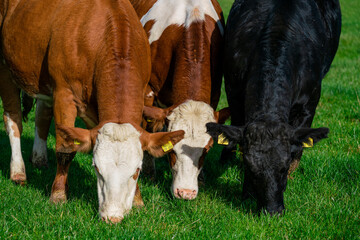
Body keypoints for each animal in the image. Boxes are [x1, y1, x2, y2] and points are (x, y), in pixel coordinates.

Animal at [0, 0, 184, 223]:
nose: (112, 217)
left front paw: (138, 200)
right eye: (96, 168)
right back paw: (18, 171)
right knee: (13, 119)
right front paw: (58, 195)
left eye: (137, 171)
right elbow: (65, 149)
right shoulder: (64, 94)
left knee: (42, 116)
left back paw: (39, 158)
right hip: (5, 67)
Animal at [130, 0, 231, 200]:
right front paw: (149, 172)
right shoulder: (148, 91)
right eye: (172, 150)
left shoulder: (215, 92)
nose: (185, 193)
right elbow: (148, 127)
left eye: (207, 149)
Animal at [205, 0, 340, 216]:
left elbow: (298, 149)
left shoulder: (308, 105)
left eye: (284, 167)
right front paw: (246, 194)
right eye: (250, 168)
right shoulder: (234, 93)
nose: (273, 211)